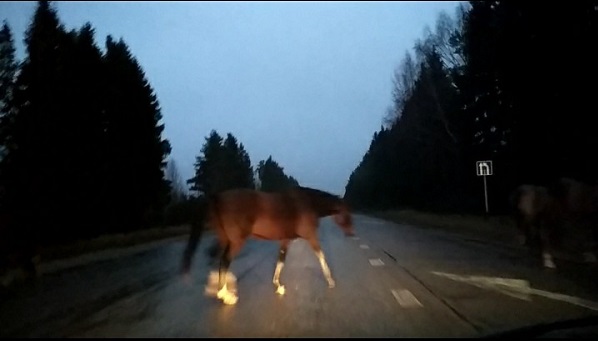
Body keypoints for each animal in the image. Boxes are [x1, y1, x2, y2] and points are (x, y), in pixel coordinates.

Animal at [180, 185, 354, 304]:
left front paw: (278, 286)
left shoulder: (285, 240)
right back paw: (225, 295)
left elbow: (280, 261)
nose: (351, 234)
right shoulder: (311, 237)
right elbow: (321, 256)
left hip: (224, 239)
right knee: (224, 261)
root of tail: (217, 196)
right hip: (236, 242)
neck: (307, 203)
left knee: (216, 258)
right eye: (347, 214)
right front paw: (331, 281)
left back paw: (218, 288)